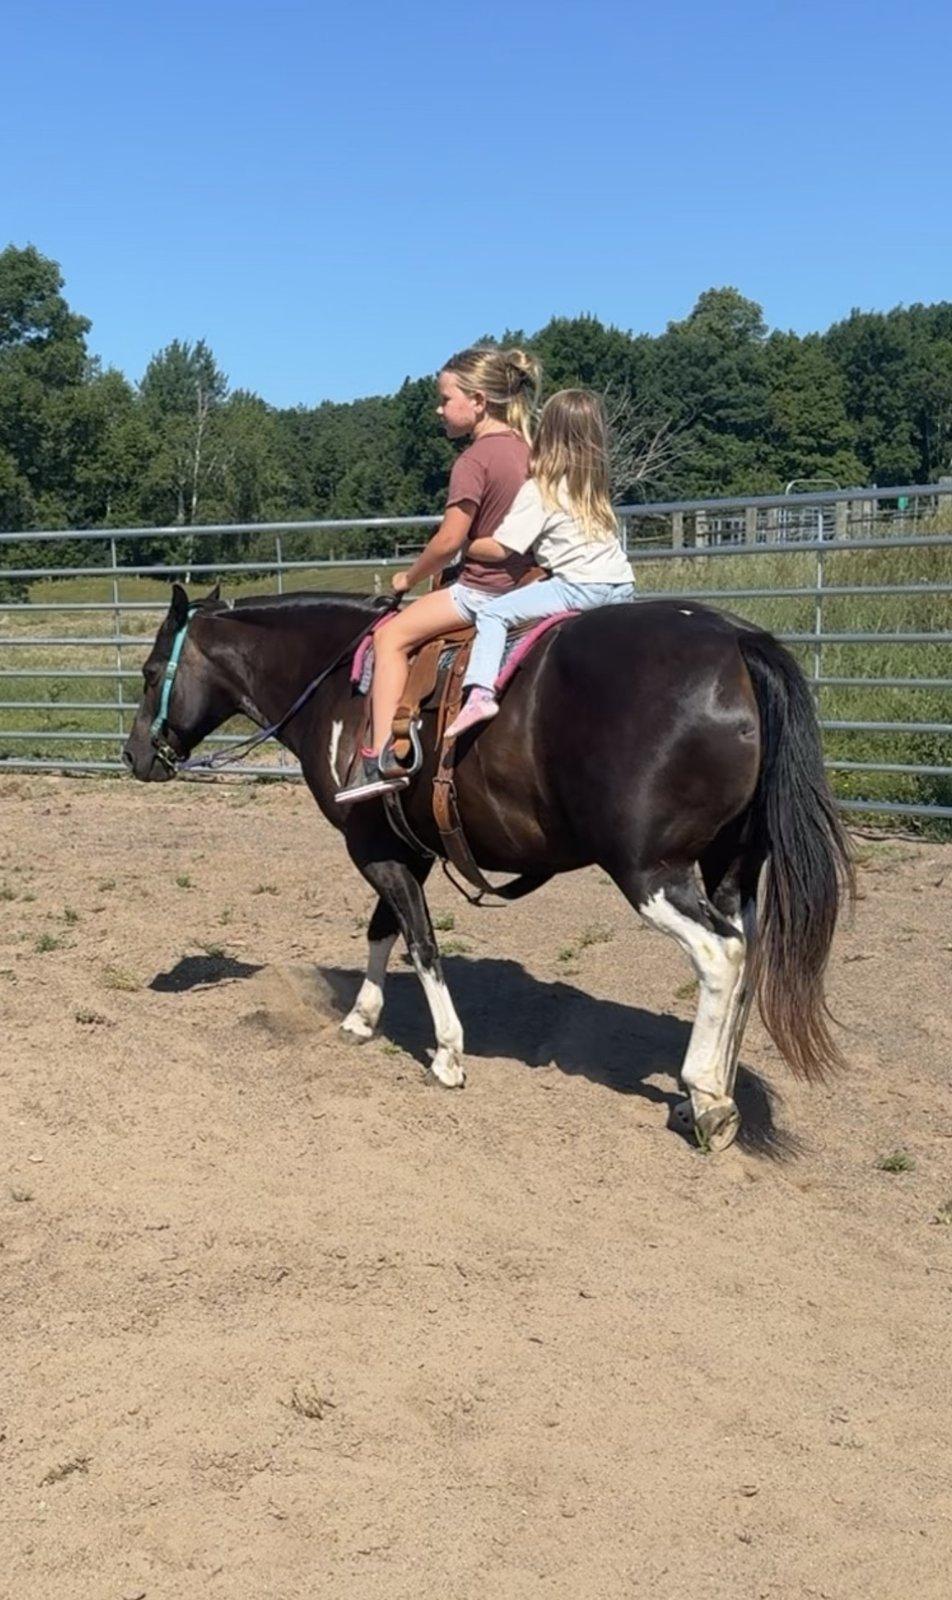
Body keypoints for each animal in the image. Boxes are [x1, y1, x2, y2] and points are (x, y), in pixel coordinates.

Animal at [122, 582, 853, 1152]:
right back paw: (708, 1091)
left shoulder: (373, 847)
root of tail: (736, 645)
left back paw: (706, 1099)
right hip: (730, 866)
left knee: (720, 955)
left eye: (153, 672)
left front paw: (447, 1054)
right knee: (746, 959)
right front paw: (361, 1019)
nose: (134, 755)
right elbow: (383, 931)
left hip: (652, 873)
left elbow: (420, 942)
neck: (337, 684)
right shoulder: (403, 850)